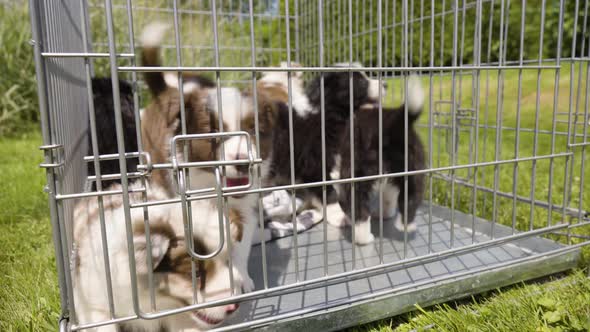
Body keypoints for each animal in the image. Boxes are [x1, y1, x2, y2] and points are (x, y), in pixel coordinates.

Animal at [332, 76, 426, 245]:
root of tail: (393, 123)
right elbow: (390, 197)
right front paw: (385, 214)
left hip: (359, 169)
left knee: (359, 207)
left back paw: (363, 238)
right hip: (415, 166)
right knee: (412, 196)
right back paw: (406, 226)